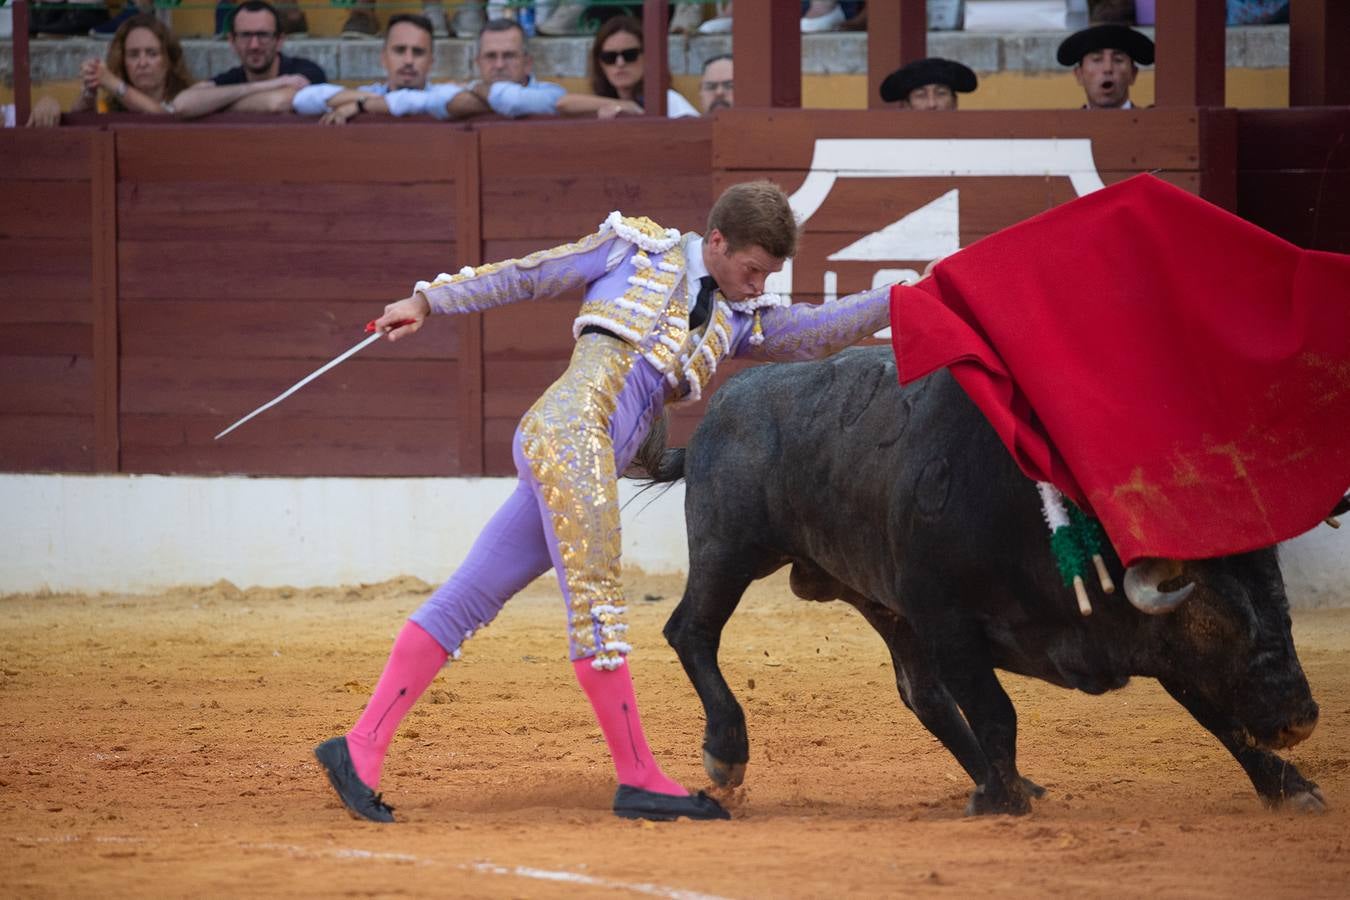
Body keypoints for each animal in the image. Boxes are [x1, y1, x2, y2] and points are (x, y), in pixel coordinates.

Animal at [642, 348, 1328, 814]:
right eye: (1219, 617)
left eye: (1282, 607)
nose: (1300, 716)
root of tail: (717, 413)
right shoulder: (947, 619)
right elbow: (998, 711)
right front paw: (1002, 802)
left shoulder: (1157, 644)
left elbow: (1217, 716)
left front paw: (1291, 789)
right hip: (731, 550)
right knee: (691, 630)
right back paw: (727, 750)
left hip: (880, 602)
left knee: (923, 695)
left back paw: (1010, 780)